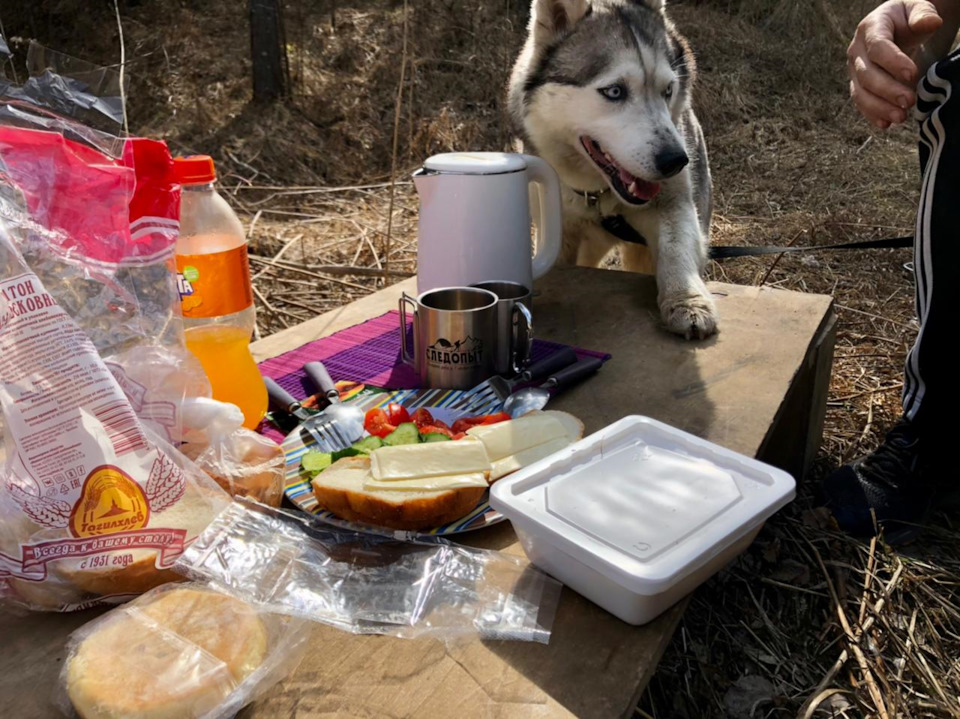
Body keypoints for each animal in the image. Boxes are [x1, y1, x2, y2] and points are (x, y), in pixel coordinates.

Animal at [509, 0, 716, 339]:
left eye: (667, 90)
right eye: (615, 91)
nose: (676, 161)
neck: (600, 196)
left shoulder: (674, 206)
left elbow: (677, 248)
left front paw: (688, 301)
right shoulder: (561, 232)